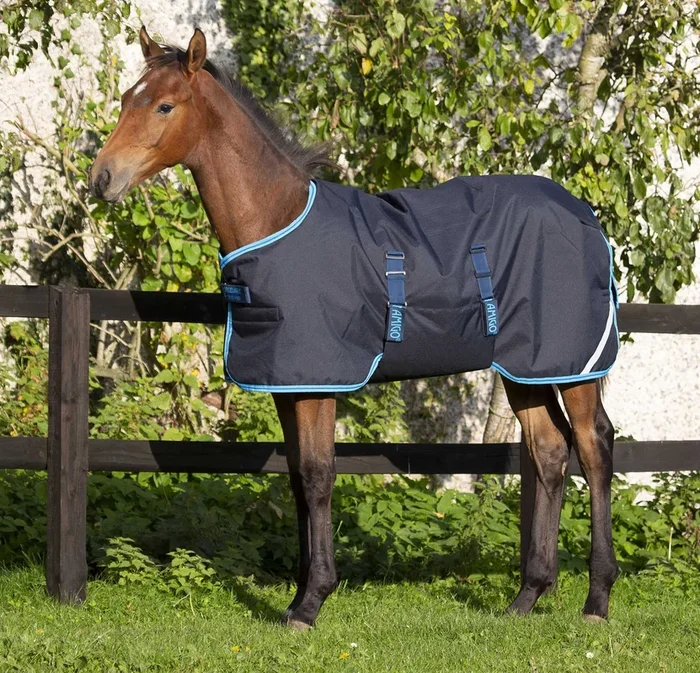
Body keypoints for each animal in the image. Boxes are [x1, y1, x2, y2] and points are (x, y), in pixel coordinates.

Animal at [89, 26, 620, 630]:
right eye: (127, 98)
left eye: (164, 105)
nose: (102, 178)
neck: (276, 220)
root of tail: (585, 214)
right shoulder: (288, 385)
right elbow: (297, 480)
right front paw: (298, 595)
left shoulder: (320, 383)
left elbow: (319, 476)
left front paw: (312, 602)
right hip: (524, 369)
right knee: (550, 453)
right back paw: (527, 596)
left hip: (573, 365)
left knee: (594, 448)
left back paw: (596, 599)